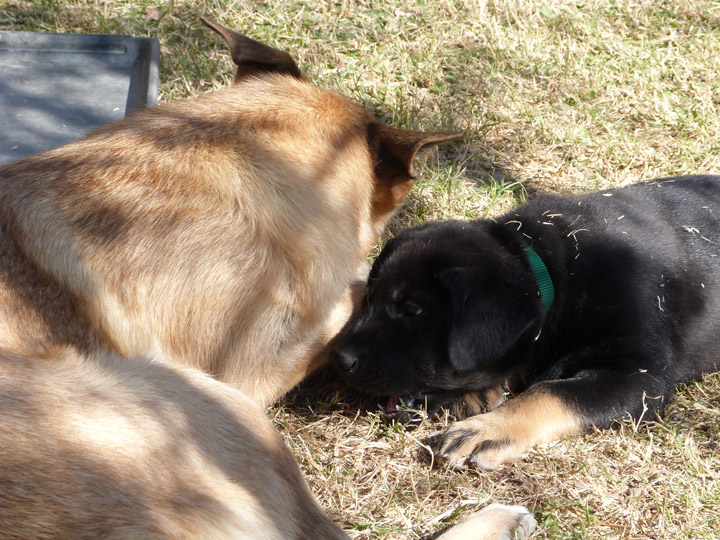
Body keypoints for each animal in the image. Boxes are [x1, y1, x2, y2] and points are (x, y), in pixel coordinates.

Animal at [332, 176, 720, 468]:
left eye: (412, 310)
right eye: (369, 299)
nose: (340, 360)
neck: (553, 273)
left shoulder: (639, 376)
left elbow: (550, 392)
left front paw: (487, 429)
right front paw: (479, 394)